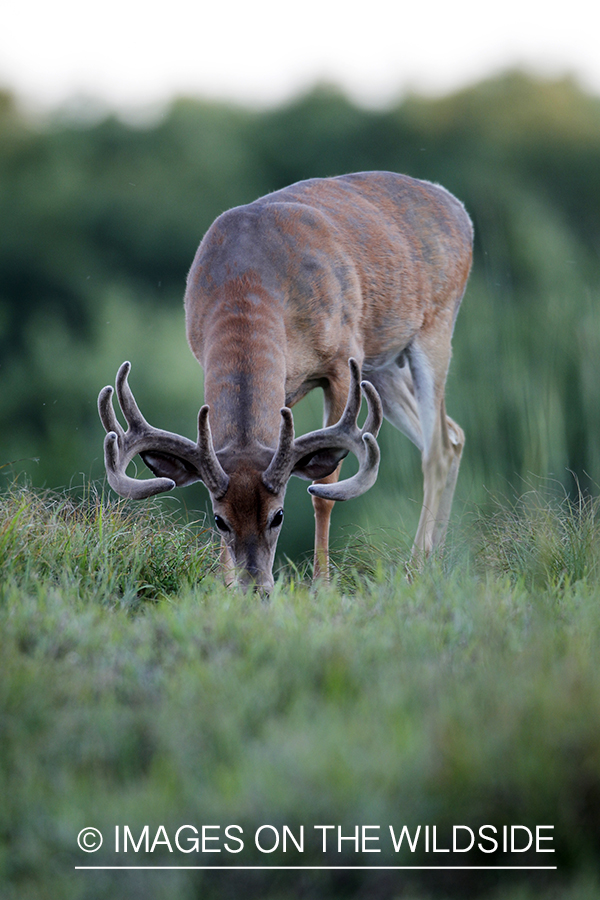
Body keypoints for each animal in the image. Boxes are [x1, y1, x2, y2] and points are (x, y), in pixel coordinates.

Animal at [99, 171, 474, 592]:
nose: (256, 587)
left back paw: (417, 566)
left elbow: (324, 489)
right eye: (220, 520)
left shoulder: (341, 361)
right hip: (381, 367)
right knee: (453, 434)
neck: (247, 284)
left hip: (435, 327)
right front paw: (224, 586)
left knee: (437, 448)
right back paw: (436, 558)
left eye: (277, 516)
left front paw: (322, 585)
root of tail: (454, 205)